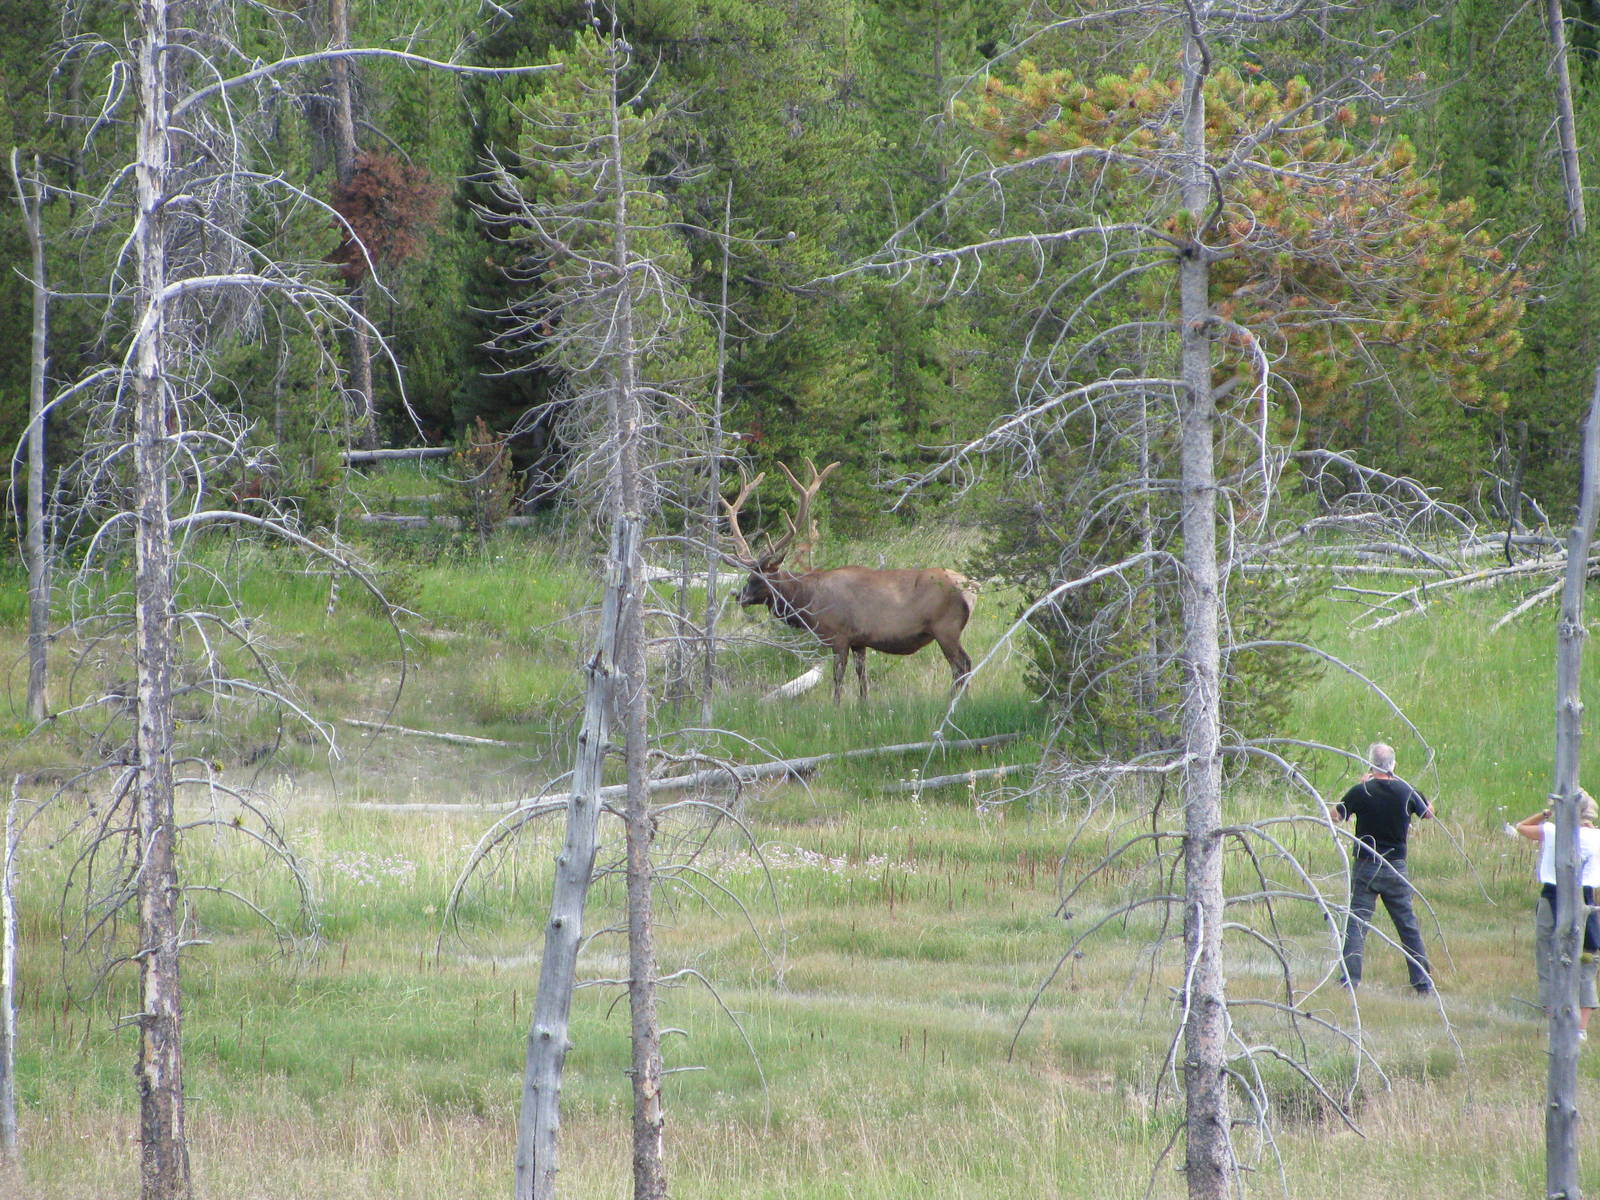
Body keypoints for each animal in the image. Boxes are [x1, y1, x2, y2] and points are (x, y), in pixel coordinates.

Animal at [722, 459, 976, 704]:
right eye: (748, 576)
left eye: (759, 578)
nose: (740, 596)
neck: (807, 601)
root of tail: (972, 589)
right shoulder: (859, 641)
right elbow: (862, 675)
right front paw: (863, 705)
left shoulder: (839, 635)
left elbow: (838, 676)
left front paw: (836, 706)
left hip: (946, 627)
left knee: (962, 665)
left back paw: (954, 701)